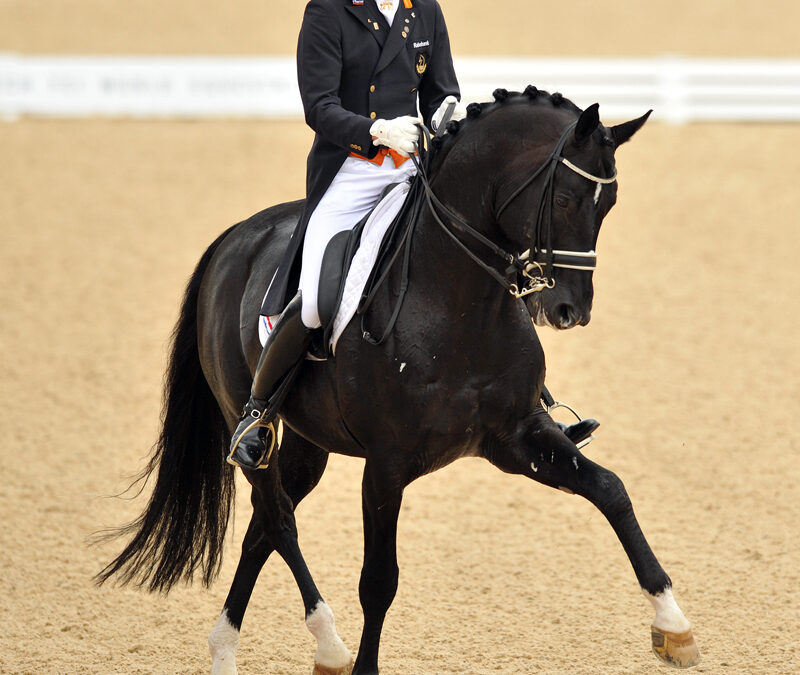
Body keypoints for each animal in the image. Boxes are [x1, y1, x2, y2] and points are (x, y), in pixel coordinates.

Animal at [97, 87, 700, 674]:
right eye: (565, 198)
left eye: (609, 205)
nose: (569, 310)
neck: (459, 303)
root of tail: (236, 237)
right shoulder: (387, 467)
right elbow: (378, 583)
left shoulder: (515, 438)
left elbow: (610, 490)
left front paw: (674, 626)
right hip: (246, 426)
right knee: (279, 518)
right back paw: (327, 645)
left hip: (308, 442)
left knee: (261, 532)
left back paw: (230, 650)